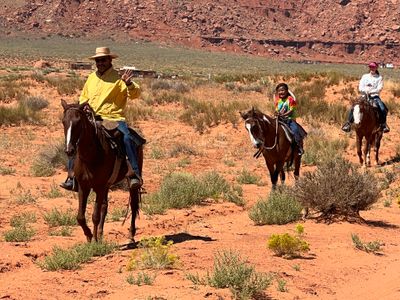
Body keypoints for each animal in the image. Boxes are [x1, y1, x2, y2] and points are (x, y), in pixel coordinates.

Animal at [61, 99, 144, 243]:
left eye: (78, 122)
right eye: (63, 121)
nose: (69, 150)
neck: (91, 156)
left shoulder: (99, 187)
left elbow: (95, 215)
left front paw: (94, 241)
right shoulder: (83, 187)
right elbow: (80, 217)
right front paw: (90, 237)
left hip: (130, 180)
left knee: (133, 206)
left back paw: (131, 236)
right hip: (107, 185)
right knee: (105, 207)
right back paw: (100, 234)